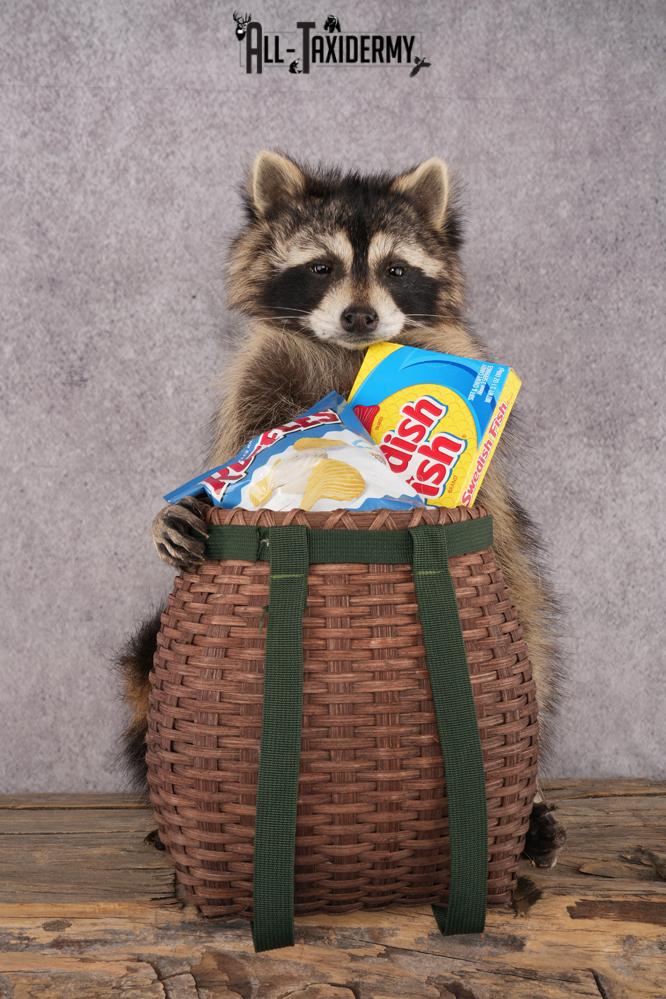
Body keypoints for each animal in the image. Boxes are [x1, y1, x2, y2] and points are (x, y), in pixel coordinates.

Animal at [118, 151, 566, 866]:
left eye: (396, 270)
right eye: (322, 267)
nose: (359, 317)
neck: (349, 355)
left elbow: (486, 511)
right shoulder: (259, 377)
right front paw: (180, 508)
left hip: (519, 611)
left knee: (531, 637)